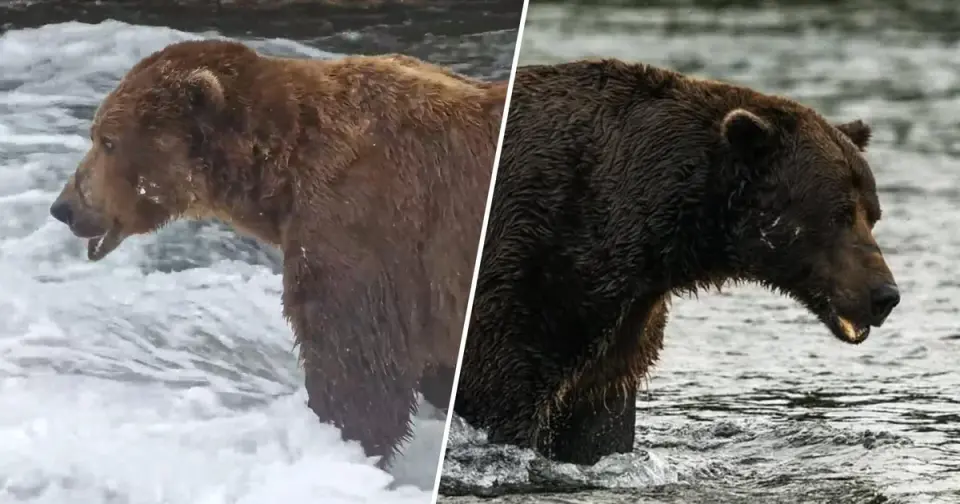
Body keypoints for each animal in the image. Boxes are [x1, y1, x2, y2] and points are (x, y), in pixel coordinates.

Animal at [47, 39, 508, 467]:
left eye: (107, 141)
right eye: (96, 134)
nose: (64, 207)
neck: (282, 173)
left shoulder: (364, 225)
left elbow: (355, 362)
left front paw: (340, 442)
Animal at [451, 59, 901, 466]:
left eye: (873, 214)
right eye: (839, 214)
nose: (884, 295)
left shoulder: (622, 328)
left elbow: (599, 420)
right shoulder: (532, 274)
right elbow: (503, 392)